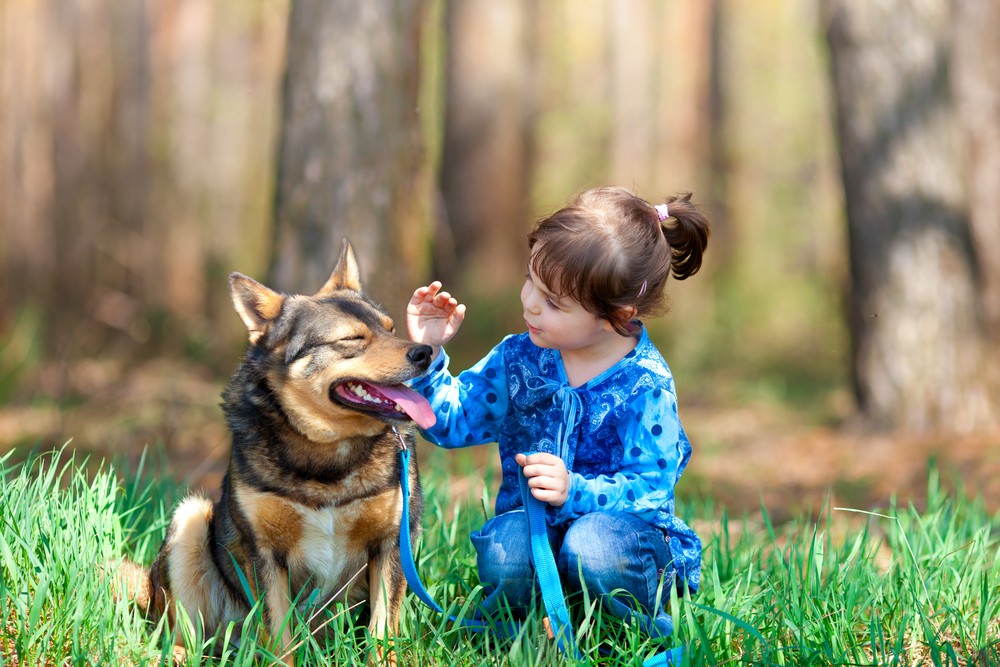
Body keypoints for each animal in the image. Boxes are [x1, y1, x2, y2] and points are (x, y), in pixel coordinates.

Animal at [116, 239, 434, 664]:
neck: (326, 453)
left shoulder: (392, 545)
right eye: (352, 339)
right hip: (191, 519)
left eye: (392, 329)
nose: (426, 352)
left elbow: (382, 633)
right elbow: (279, 634)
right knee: (184, 633)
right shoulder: (264, 553)